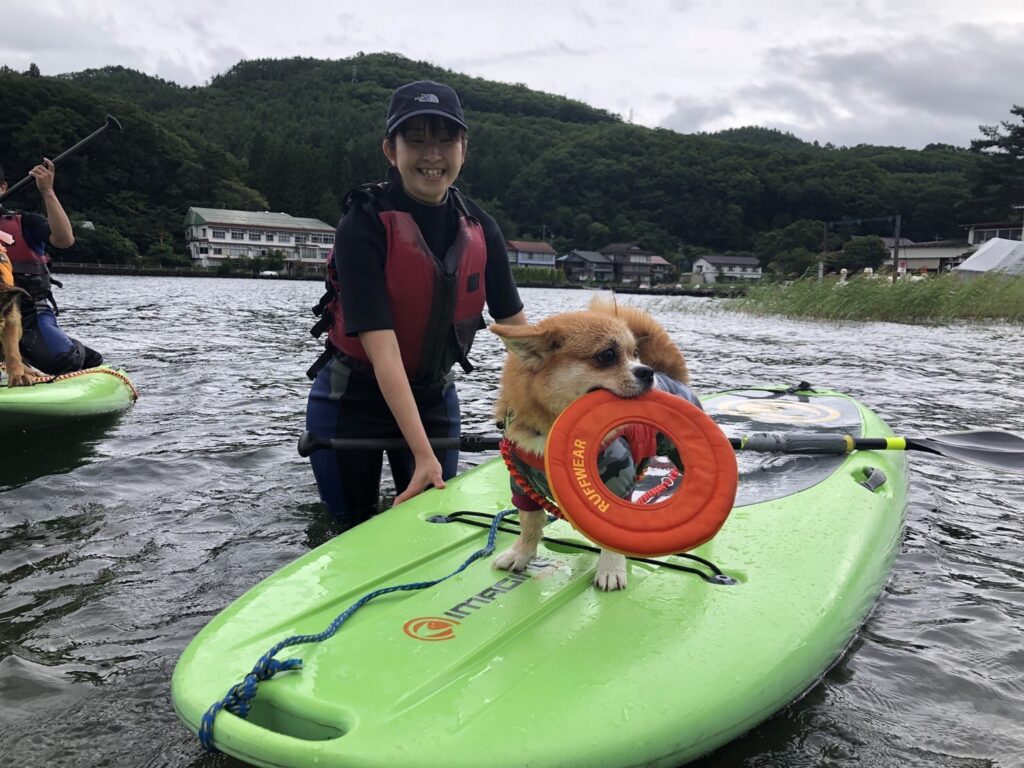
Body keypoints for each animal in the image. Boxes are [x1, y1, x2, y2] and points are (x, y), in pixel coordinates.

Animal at [489, 296, 696, 593]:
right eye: (607, 355)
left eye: (635, 353)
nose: (647, 371)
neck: (555, 431)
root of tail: (672, 377)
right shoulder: (522, 486)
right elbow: (530, 524)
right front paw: (521, 554)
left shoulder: (617, 488)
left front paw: (611, 569)